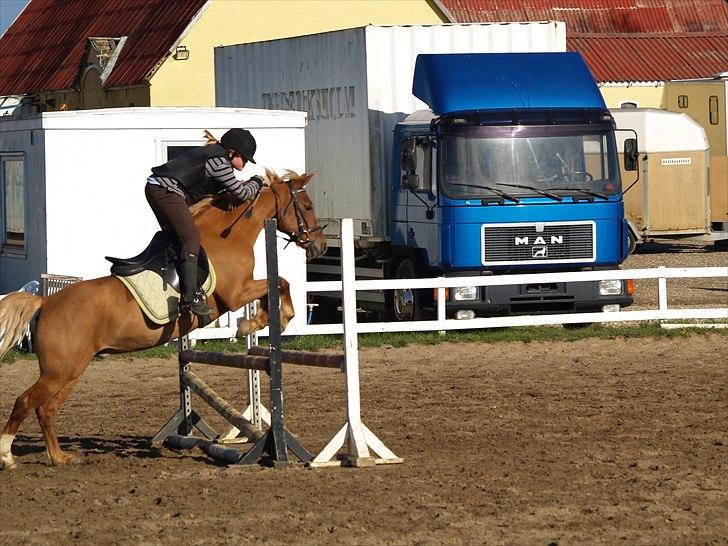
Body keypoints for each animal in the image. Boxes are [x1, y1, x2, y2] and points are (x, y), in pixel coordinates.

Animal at [0, 171, 326, 468]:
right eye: (308, 206)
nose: (320, 246)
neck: (226, 237)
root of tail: (45, 301)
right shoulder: (236, 294)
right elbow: (281, 282)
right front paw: (260, 322)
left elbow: (278, 286)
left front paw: (259, 321)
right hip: (60, 371)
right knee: (25, 402)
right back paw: (7, 456)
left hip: (71, 371)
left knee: (46, 409)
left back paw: (59, 457)